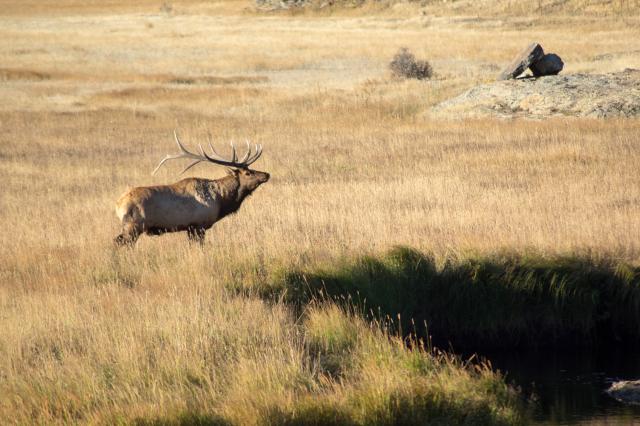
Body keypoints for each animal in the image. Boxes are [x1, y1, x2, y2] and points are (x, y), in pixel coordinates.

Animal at [115, 132, 270, 246]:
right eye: (248, 173)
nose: (267, 174)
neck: (220, 200)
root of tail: (118, 205)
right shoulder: (198, 225)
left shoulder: (190, 228)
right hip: (133, 226)